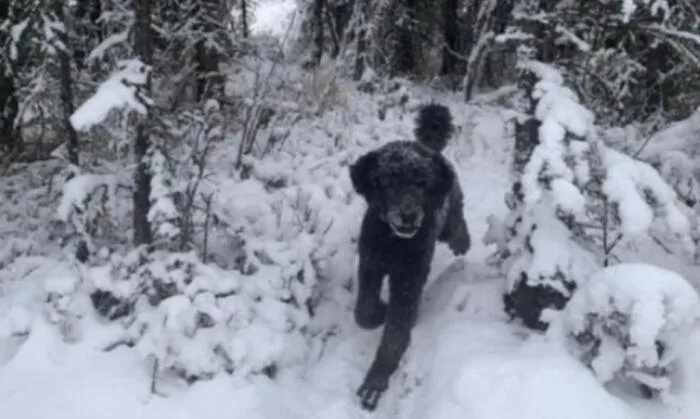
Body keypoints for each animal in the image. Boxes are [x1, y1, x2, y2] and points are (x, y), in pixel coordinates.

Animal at [350, 103, 470, 412]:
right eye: (388, 182)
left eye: (421, 182)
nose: (408, 215)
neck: (394, 243)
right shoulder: (371, 264)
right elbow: (363, 312)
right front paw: (379, 311)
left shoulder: (409, 279)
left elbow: (395, 334)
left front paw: (375, 382)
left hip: (448, 215)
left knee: (456, 225)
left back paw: (463, 242)